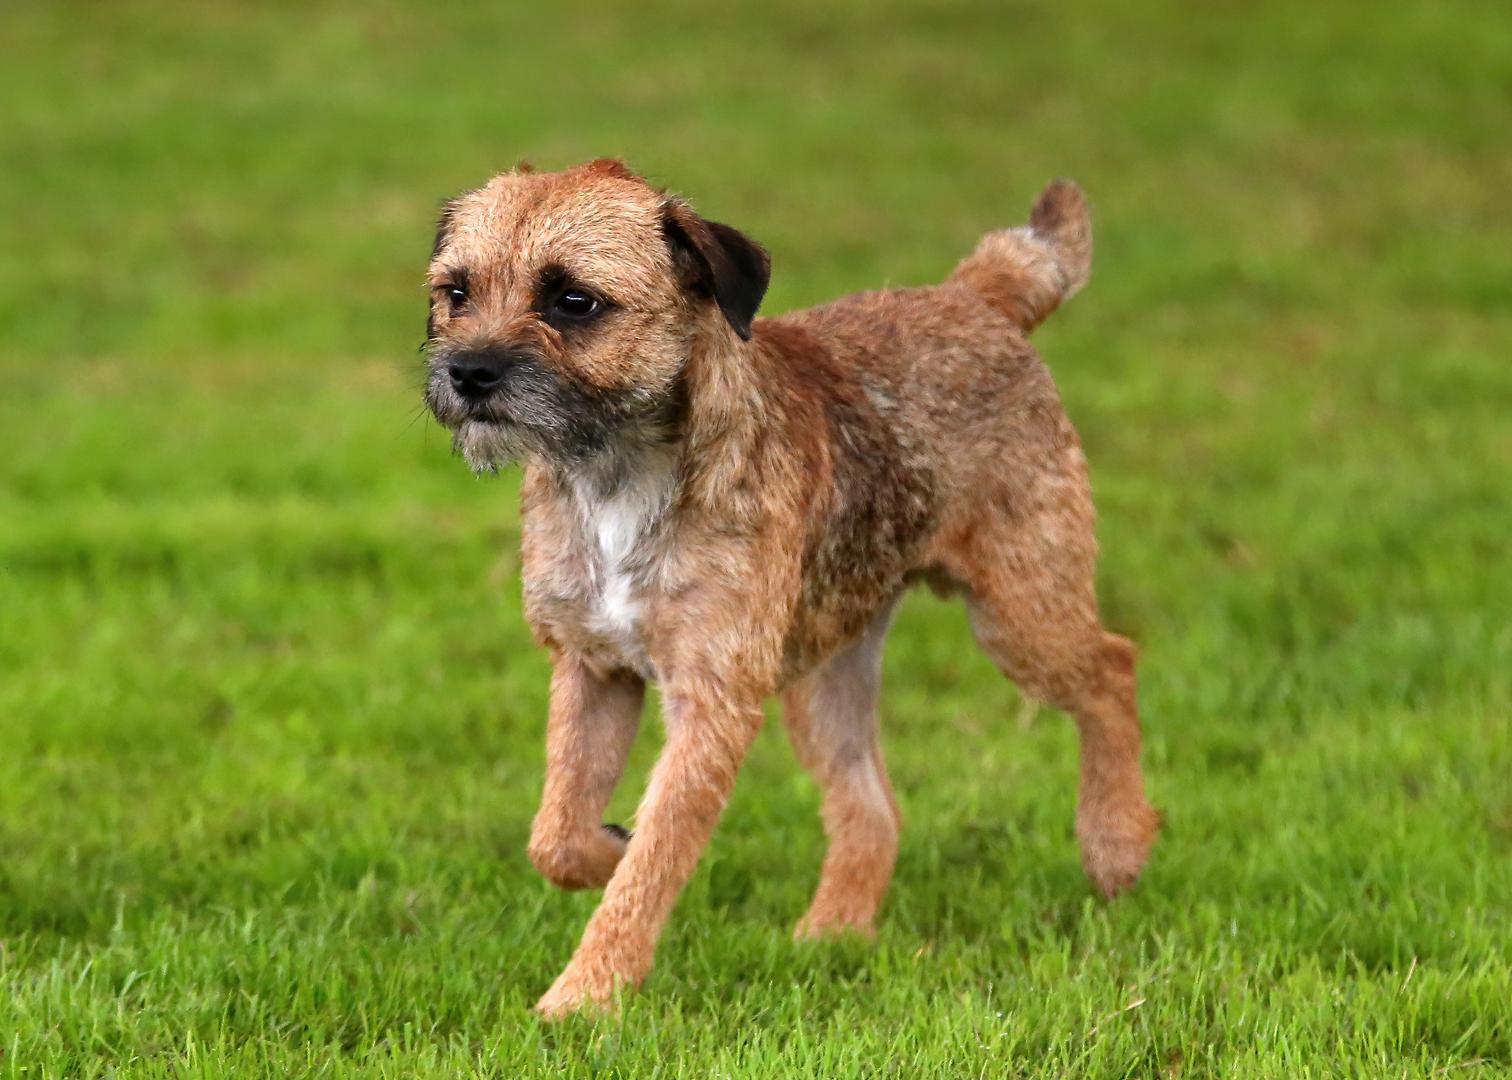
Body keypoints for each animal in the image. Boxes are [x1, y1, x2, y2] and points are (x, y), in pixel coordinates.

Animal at [420, 155, 1149, 1016]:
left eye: (574, 301)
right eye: (456, 292)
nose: (467, 371)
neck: (620, 476)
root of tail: (976, 294)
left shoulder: (712, 702)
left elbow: (653, 862)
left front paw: (585, 998)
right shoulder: (590, 666)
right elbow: (556, 833)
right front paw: (605, 849)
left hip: (1021, 611)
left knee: (1111, 669)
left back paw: (1116, 844)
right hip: (823, 675)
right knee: (873, 809)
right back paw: (833, 930)